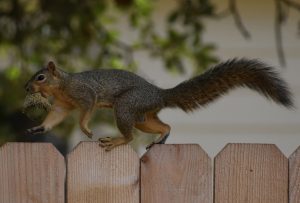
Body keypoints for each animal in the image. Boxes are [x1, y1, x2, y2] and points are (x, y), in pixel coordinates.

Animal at [24, 58, 294, 151]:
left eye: (40, 77)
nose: (26, 88)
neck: (62, 85)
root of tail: (160, 95)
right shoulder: (62, 104)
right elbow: (55, 117)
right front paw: (38, 128)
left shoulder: (85, 94)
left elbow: (86, 110)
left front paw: (86, 128)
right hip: (143, 117)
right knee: (163, 126)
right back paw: (161, 138)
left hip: (125, 107)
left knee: (130, 136)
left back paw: (117, 141)